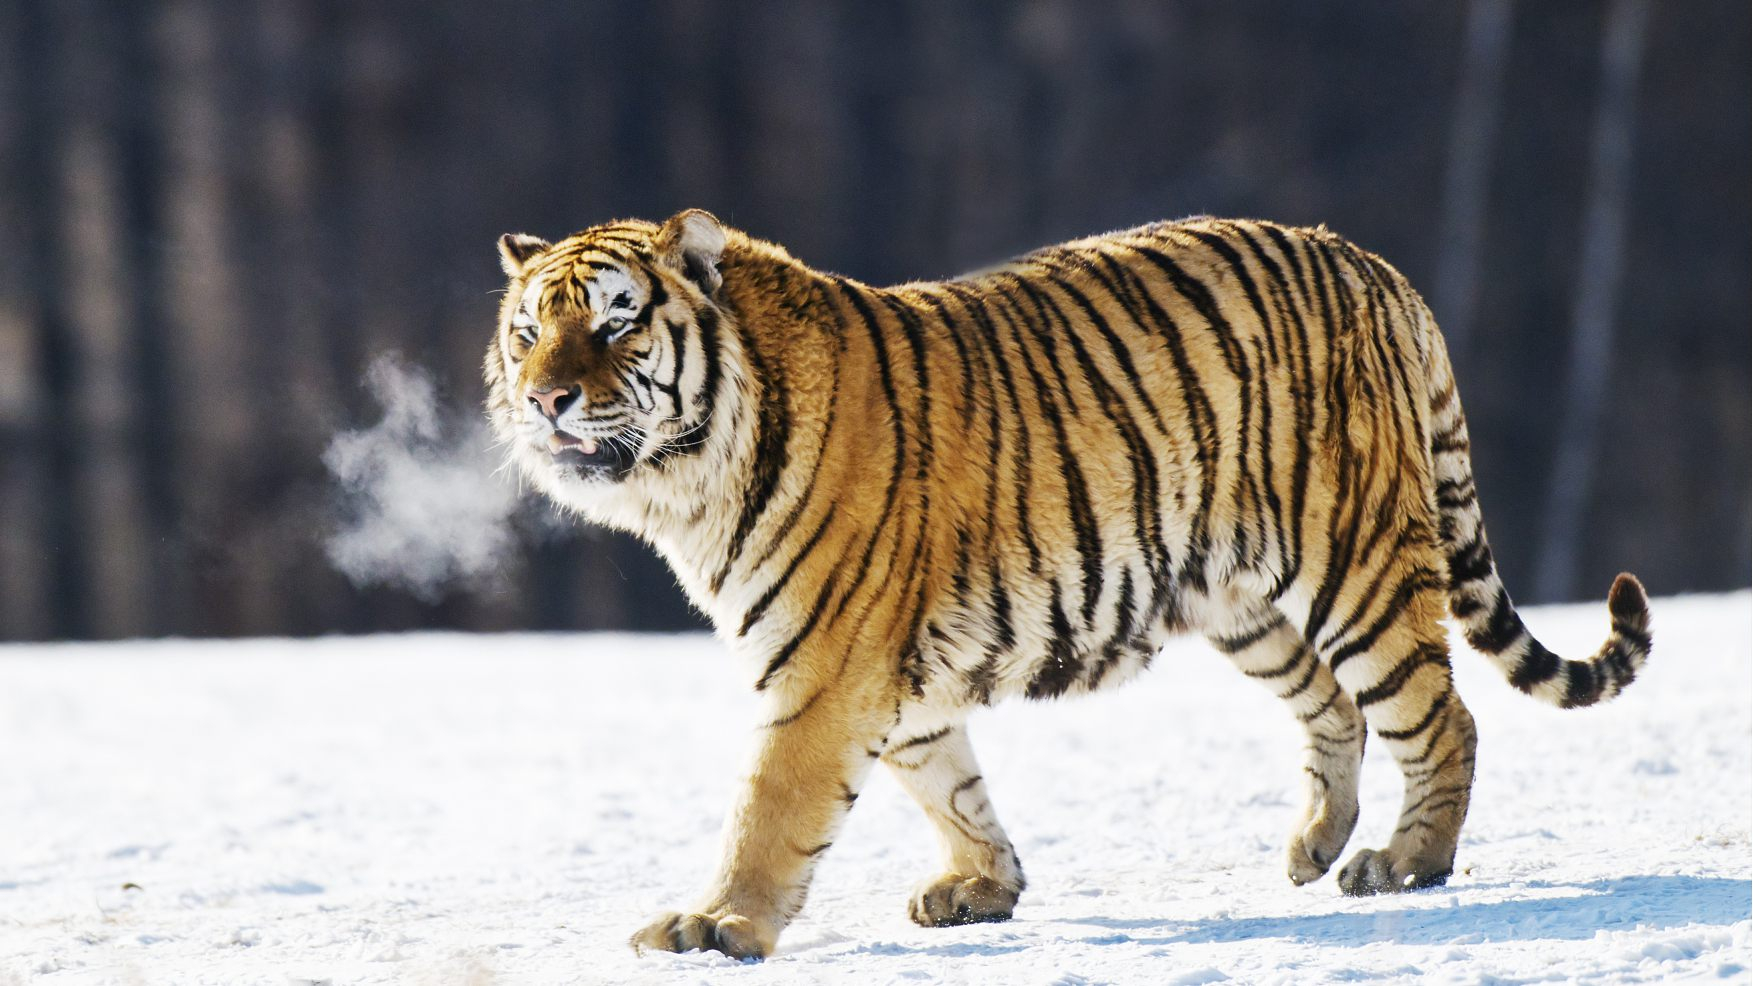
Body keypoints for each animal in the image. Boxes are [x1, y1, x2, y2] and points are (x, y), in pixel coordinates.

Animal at [484, 209, 1652, 960]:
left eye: (616, 323)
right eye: (528, 330)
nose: (543, 399)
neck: (688, 484)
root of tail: (1371, 265)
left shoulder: (822, 669)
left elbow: (768, 809)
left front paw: (716, 925)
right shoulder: (887, 675)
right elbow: (948, 783)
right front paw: (984, 887)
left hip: (1352, 563)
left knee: (1440, 714)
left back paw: (1405, 861)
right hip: (1241, 598)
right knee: (1336, 709)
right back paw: (1317, 843)